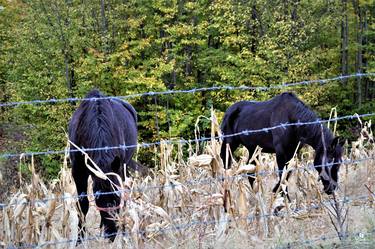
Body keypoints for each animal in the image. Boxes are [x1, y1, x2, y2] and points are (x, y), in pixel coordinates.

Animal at [68, 89, 138, 241]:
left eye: (117, 197)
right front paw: (80, 239)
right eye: (97, 198)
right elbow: (82, 204)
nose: (111, 234)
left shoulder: (118, 169)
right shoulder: (78, 171)